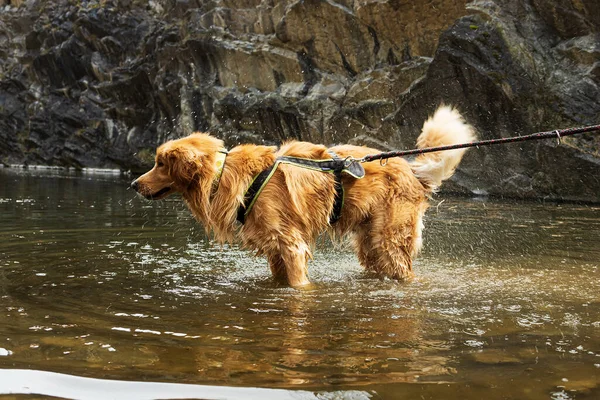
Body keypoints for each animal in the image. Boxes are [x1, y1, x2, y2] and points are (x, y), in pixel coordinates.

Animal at [130, 105, 474, 288]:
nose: (134, 184)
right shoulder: (273, 248)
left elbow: (298, 284)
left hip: (390, 240)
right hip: (371, 243)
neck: (222, 173)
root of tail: (412, 171)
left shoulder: (291, 243)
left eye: (160, 164)